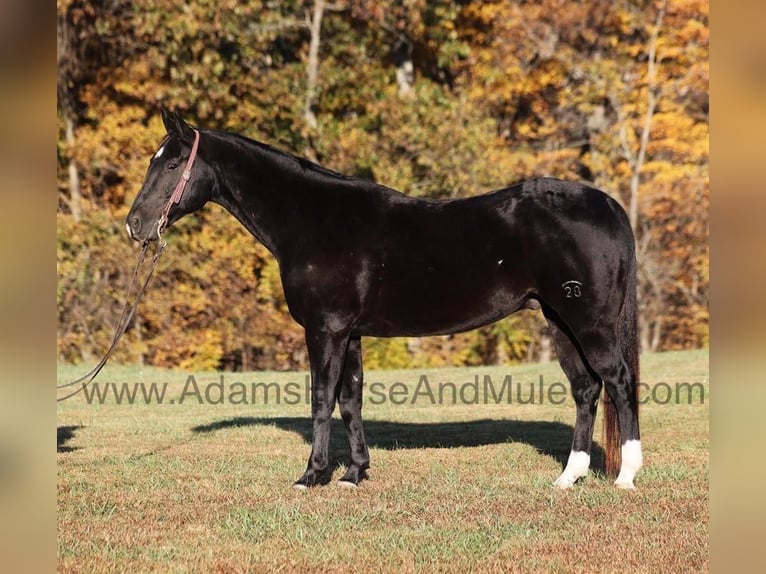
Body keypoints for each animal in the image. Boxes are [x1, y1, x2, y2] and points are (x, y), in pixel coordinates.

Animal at [127, 111, 640, 490]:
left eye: (171, 165)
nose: (135, 224)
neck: (313, 221)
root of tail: (607, 205)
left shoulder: (325, 329)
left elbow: (322, 400)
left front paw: (311, 476)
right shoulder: (349, 333)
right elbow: (350, 401)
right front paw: (355, 473)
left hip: (589, 323)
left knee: (618, 380)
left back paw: (626, 476)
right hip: (560, 321)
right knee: (586, 389)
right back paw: (568, 477)